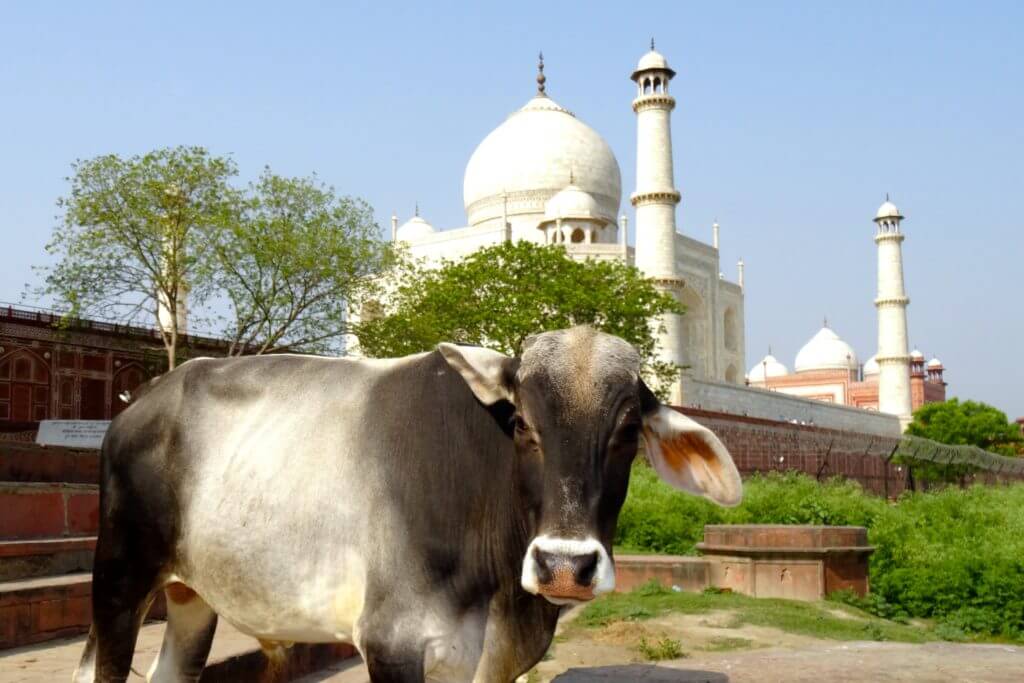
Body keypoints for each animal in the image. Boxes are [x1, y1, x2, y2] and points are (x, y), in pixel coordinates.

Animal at [75, 327, 741, 683]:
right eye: (524, 423)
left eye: (628, 431)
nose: (563, 566)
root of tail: (143, 399)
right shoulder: (393, 641)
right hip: (120, 582)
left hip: (191, 598)